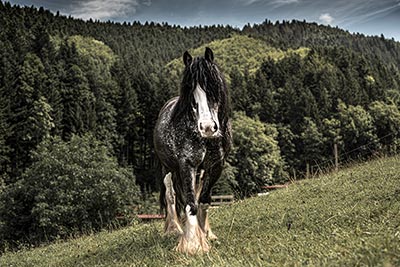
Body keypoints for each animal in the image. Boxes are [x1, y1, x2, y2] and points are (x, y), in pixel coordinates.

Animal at [155, 47, 233, 255]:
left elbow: (203, 200)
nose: (207, 127)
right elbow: (190, 203)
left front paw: (206, 234)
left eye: (214, 87)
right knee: (171, 195)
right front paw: (192, 244)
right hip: (168, 169)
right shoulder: (186, 165)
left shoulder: (216, 165)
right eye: (191, 92)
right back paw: (174, 229)